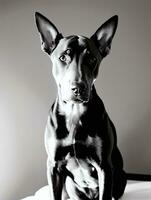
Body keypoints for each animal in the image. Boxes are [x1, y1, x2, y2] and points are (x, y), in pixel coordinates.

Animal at [34, 12, 127, 198]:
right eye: (63, 57)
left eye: (91, 59)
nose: (78, 87)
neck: (74, 112)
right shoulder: (53, 166)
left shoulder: (104, 167)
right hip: (70, 185)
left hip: (120, 177)